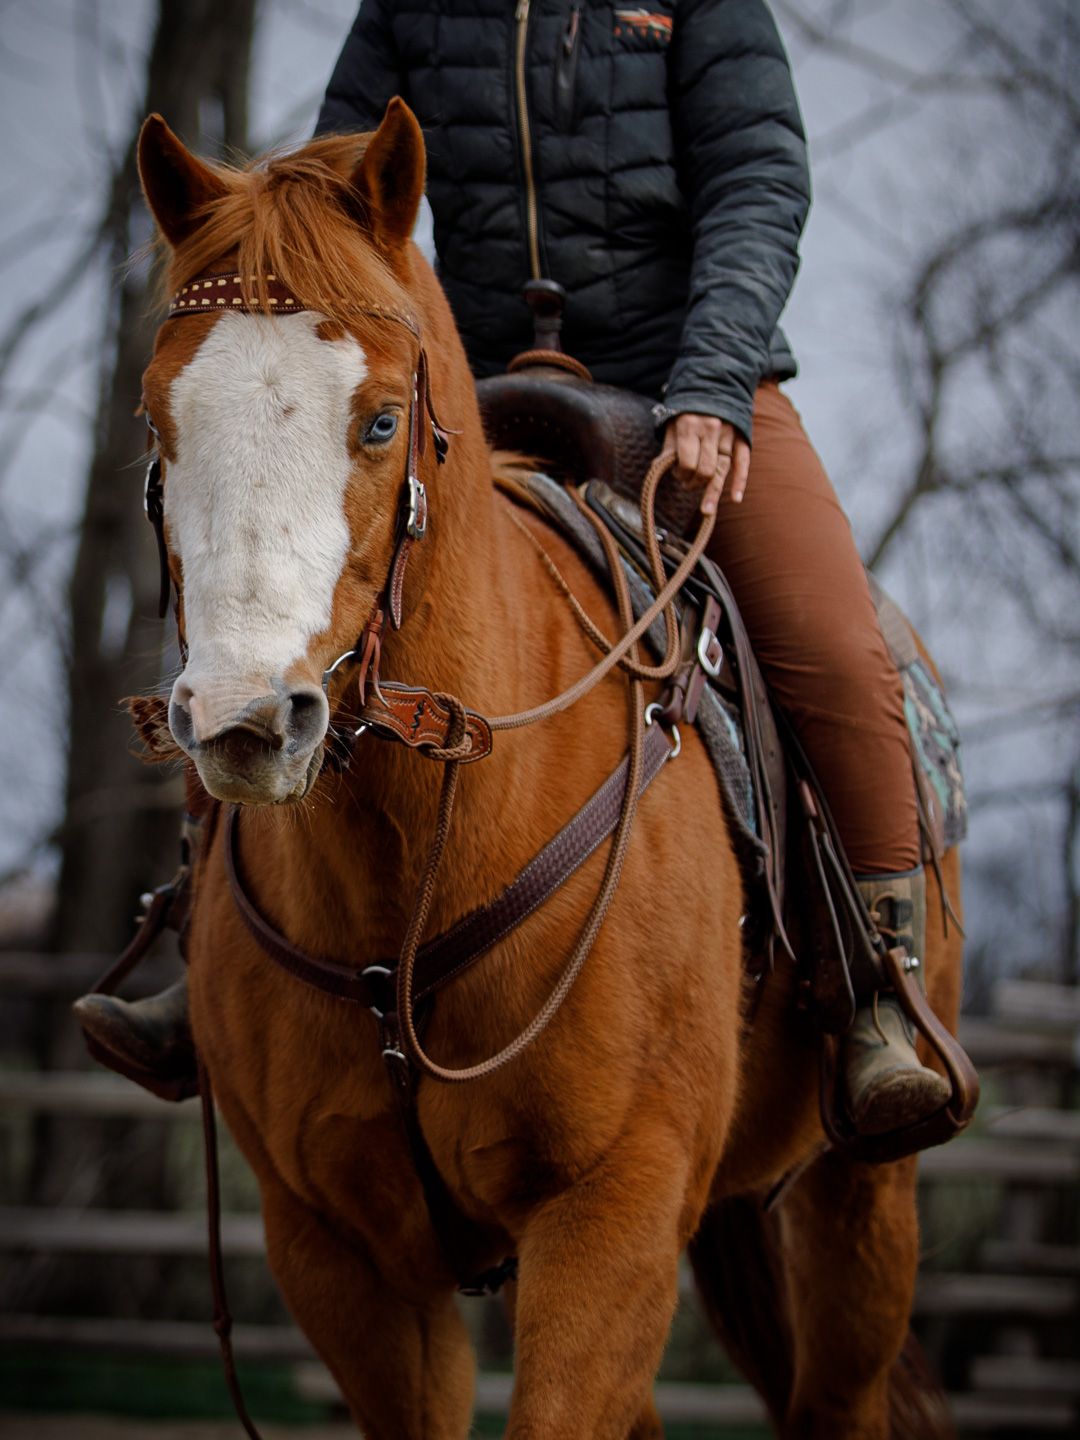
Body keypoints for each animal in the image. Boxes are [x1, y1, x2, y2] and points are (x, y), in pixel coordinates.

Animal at [135, 99, 962, 1439]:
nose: (250, 719)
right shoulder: (340, 1257)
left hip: (856, 1199)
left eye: (380, 419)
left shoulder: (613, 1213)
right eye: (158, 425)